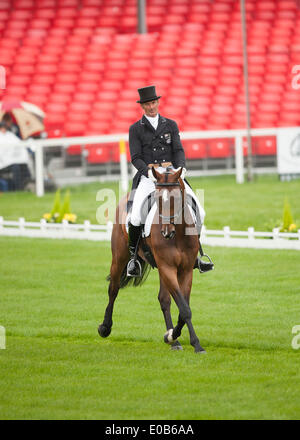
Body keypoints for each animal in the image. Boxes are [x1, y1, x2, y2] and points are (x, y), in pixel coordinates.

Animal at [98, 166, 206, 354]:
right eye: (157, 198)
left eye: (177, 198)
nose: (166, 232)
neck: (178, 234)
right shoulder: (167, 267)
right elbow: (184, 308)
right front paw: (182, 338)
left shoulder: (184, 270)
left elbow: (183, 308)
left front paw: (177, 337)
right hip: (119, 258)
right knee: (113, 290)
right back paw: (105, 327)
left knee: (164, 299)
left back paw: (174, 342)